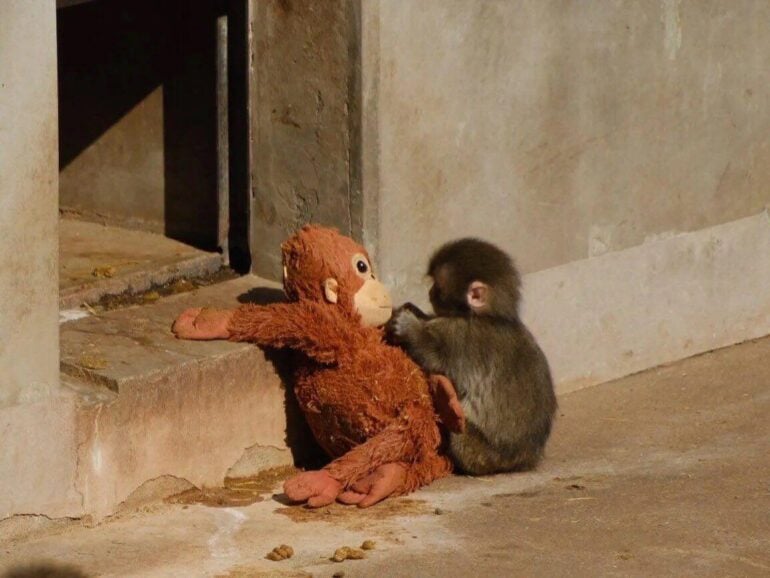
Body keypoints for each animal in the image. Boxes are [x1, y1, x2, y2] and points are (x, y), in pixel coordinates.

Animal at [386, 238, 557, 476]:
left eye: (438, 286)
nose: (430, 292)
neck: (489, 317)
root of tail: (523, 460)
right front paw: (415, 311)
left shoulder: (460, 336)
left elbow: (434, 357)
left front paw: (409, 326)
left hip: (480, 454)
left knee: (459, 431)